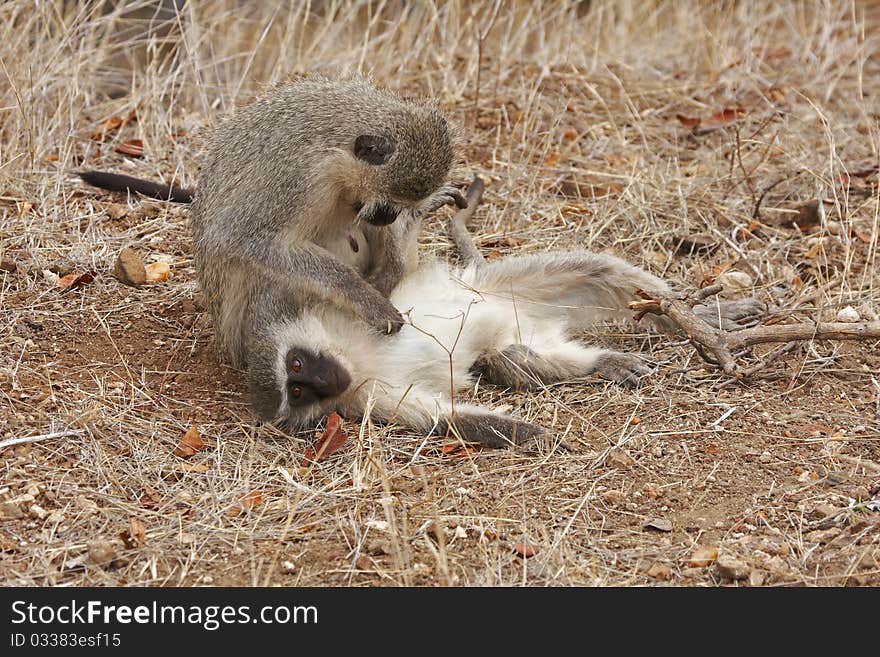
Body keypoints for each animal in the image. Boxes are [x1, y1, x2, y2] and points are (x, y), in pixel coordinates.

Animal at [77, 79, 468, 366]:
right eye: (389, 203)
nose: (390, 216)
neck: (337, 148)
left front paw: (388, 271)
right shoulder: (298, 176)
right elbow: (243, 239)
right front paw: (366, 298)